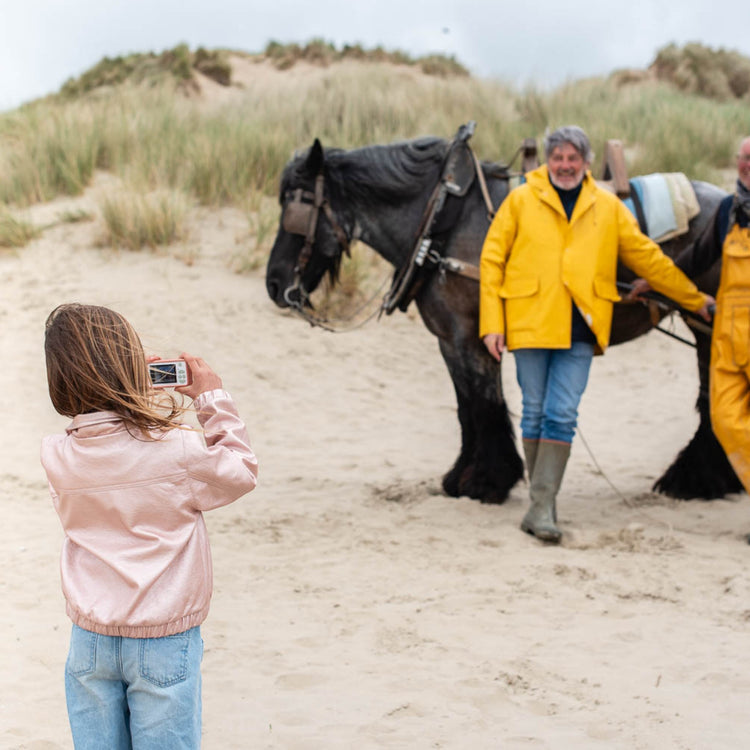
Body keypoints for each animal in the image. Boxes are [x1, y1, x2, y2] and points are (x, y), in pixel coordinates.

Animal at [264, 135, 740, 506]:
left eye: (295, 206)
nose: (273, 283)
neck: (444, 221)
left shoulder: (471, 338)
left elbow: (486, 404)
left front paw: (488, 481)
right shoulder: (449, 340)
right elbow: (467, 408)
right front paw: (463, 476)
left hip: (707, 328)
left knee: (711, 398)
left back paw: (694, 480)